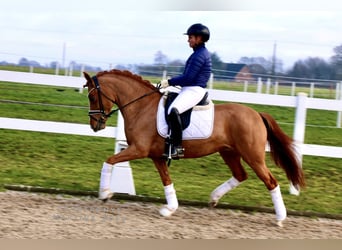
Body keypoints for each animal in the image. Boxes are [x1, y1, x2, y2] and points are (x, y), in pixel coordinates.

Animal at [83, 70, 304, 227]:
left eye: (92, 97)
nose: (95, 125)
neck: (142, 107)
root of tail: (257, 114)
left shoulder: (139, 149)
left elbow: (109, 161)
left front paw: (105, 193)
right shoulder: (157, 156)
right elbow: (166, 180)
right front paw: (170, 209)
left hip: (253, 156)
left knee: (271, 181)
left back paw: (280, 218)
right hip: (229, 152)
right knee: (240, 175)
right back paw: (213, 198)